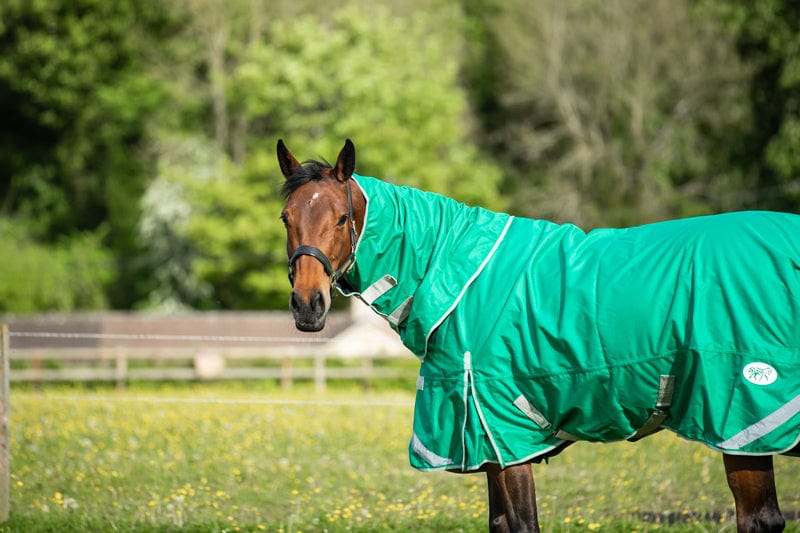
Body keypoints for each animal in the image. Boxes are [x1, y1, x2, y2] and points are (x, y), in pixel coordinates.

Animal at [277, 138, 800, 532]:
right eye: (287, 217)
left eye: (341, 218)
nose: (308, 306)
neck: (454, 273)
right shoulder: (485, 443)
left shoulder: (505, 434)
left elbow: (523, 524)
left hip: (743, 423)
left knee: (759, 519)